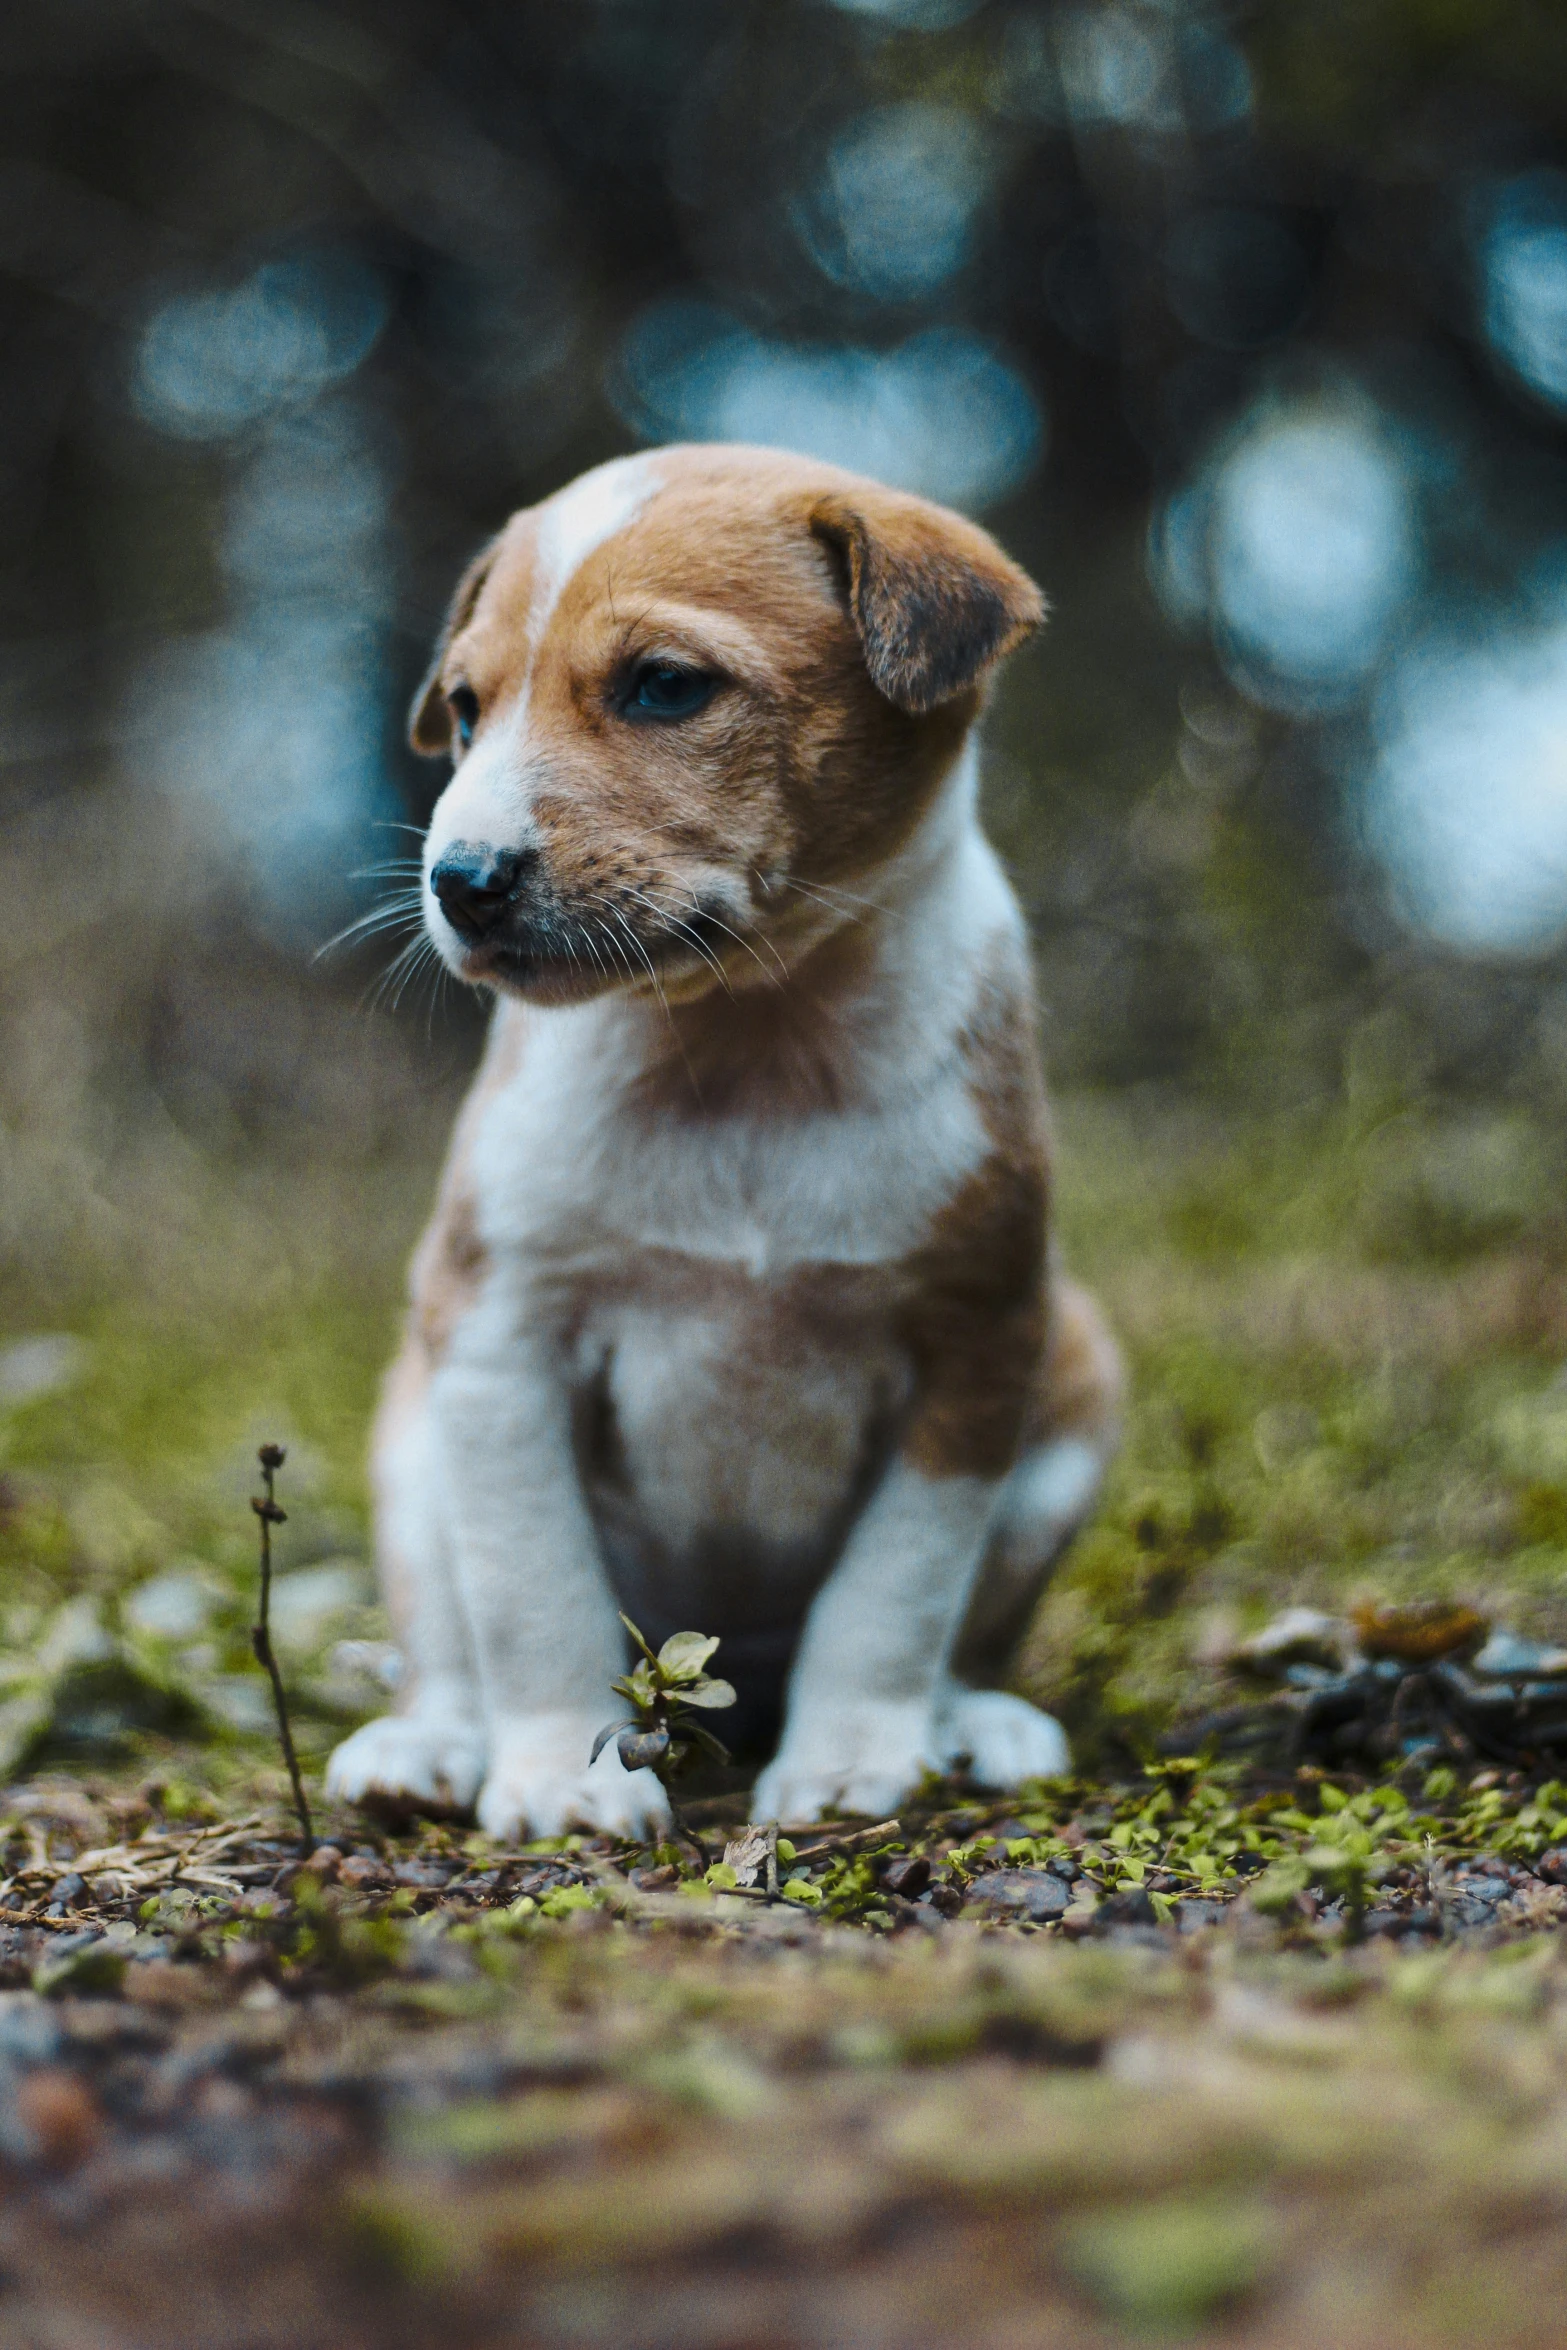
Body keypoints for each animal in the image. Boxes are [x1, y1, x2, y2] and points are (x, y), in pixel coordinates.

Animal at [324, 441, 1122, 1832]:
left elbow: (892, 1594)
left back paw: (973, 1721)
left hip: (1073, 1398)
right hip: (415, 1446)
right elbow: (535, 1595)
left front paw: (851, 1763)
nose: (461, 881)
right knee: (451, 1641)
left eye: (663, 687)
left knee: (958, 1639)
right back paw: (426, 1744)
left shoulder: (973, 1348)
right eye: (466, 709)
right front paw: (562, 1779)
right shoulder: (498, 1342)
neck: (746, 1053)